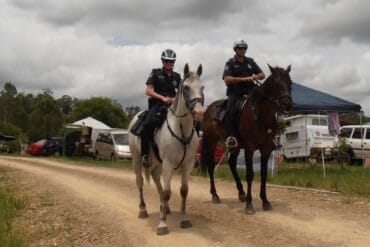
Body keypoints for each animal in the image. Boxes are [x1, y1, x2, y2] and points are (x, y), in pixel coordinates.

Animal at [128, 63, 205, 235]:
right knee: (140, 182)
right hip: (136, 159)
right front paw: (162, 224)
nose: (199, 113)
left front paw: (184, 219)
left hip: (157, 163)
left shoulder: (188, 164)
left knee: (156, 179)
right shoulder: (168, 164)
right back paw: (143, 210)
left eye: (202, 87)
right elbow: (167, 192)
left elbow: (183, 190)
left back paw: (166, 208)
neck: (181, 130)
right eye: (186, 87)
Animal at [202, 64, 292, 214]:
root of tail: (208, 109)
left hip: (236, 146)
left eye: (290, 83)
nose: (287, 104)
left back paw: (241, 193)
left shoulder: (266, 149)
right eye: (277, 83)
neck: (260, 114)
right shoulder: (250, 149)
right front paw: (249, 205)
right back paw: (215, 195)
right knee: (210, 166)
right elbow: (250, 175)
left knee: (232, 163)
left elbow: (263, 174)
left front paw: (265, 201)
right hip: (211, 142)